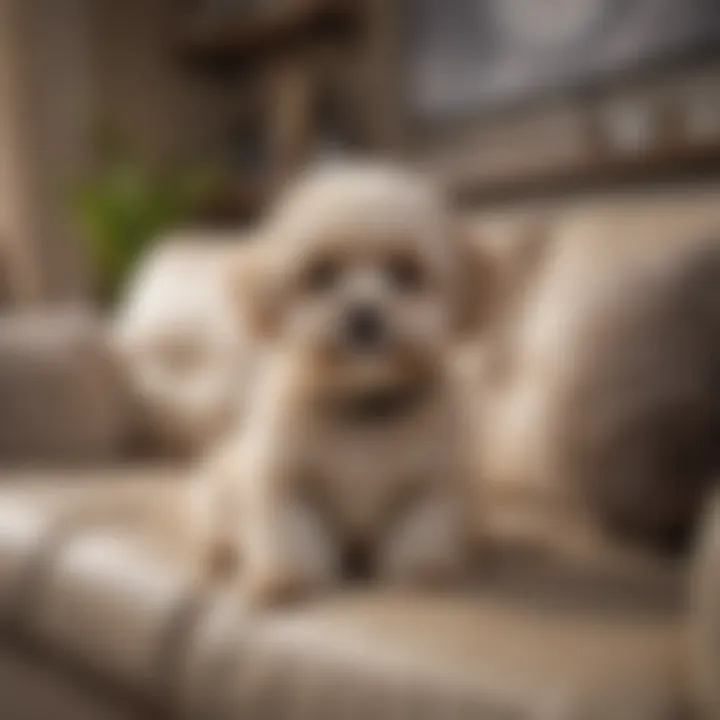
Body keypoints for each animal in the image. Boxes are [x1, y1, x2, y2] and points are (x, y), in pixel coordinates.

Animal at [191, 162, 496, 600]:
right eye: (321, 273)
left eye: (406, 271)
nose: (363, 314)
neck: (360, 407)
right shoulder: (282, 480)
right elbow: (289, 534)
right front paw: (284, 578)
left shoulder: (434, 483)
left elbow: (420, 534)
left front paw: (424, 572)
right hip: (219, 492)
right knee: (216, 532)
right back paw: (215, 558)